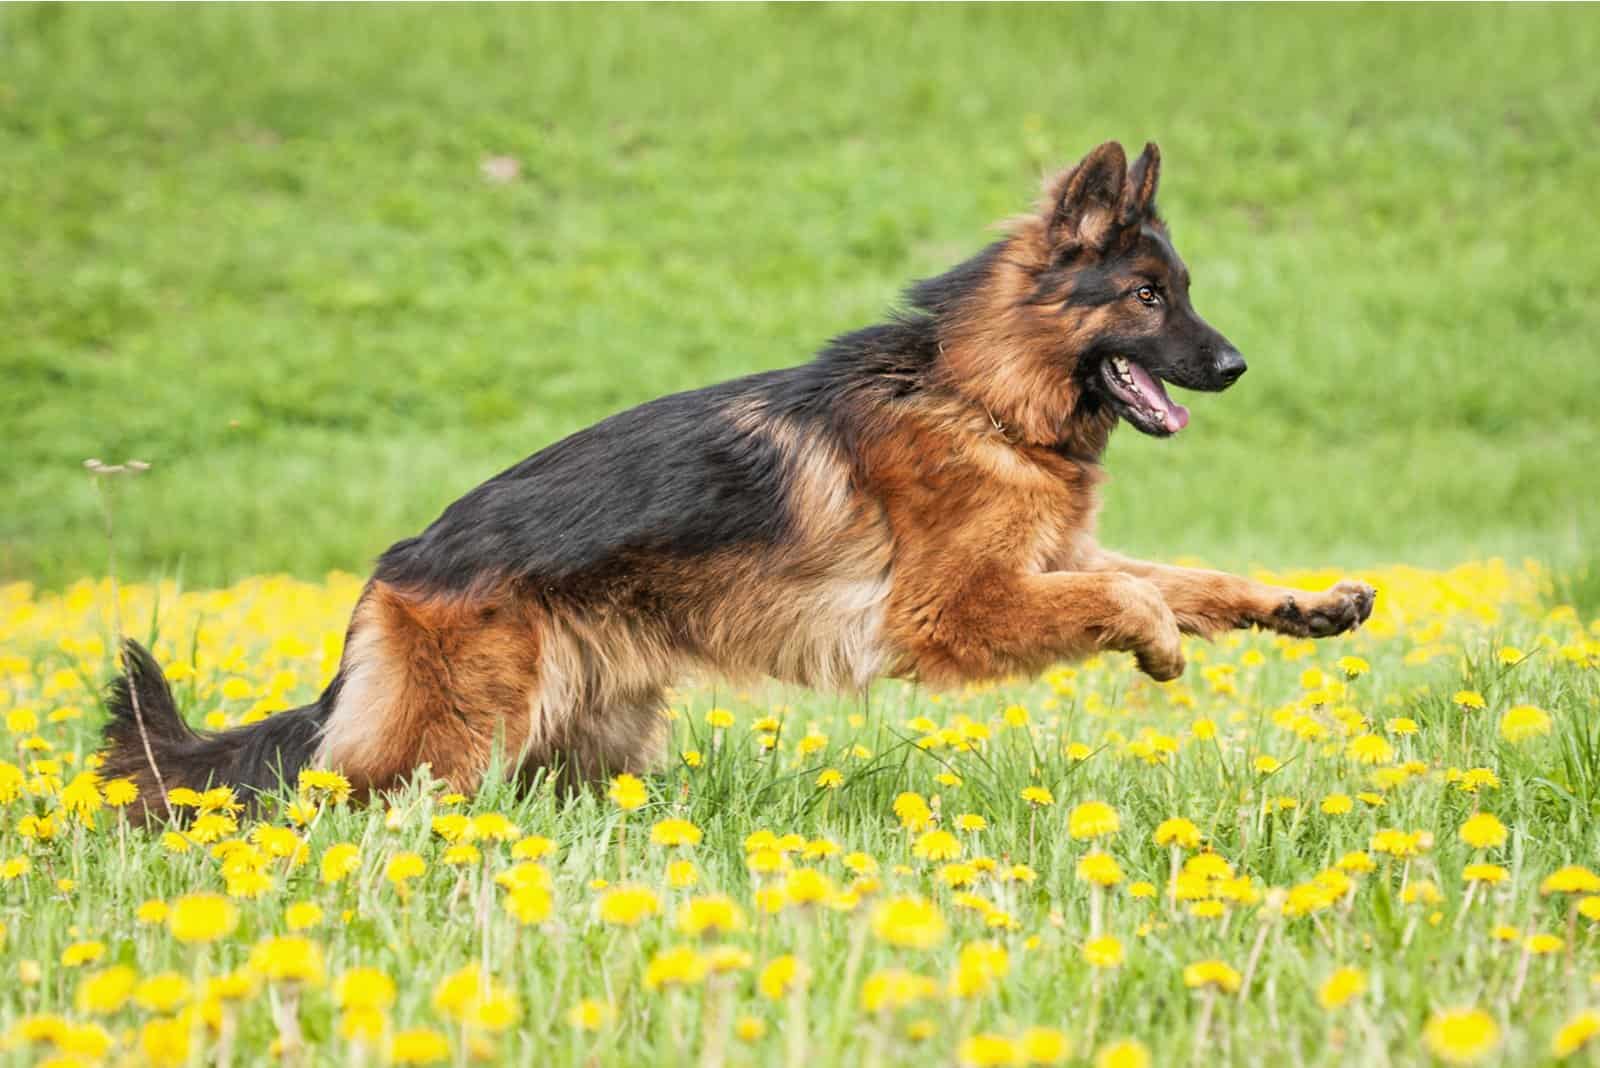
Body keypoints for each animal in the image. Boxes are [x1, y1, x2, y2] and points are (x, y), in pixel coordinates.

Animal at [100, 139, 1376, 818]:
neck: (975, 392)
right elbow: (1133, 594)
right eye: (1149, 297)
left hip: (578, 740)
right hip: (451, 744)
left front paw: (1304, 603)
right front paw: (1155, 646)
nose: (1235, 366)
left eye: (1184, 292)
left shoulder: (1050, 561)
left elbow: (1190, 576)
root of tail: (395, 568)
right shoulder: (954, 610)